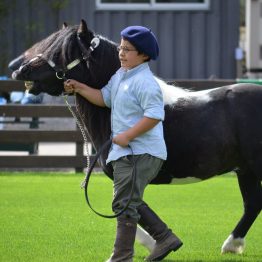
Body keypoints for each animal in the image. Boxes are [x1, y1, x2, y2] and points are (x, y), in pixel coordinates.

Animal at [9, 20, 260, 256]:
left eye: (62, 51)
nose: (20, 71)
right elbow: (129, 209)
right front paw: (155, 243)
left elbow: (128, 209)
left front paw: (155, 244)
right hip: (245, 169)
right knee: (252, 205)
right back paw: (232, 245)